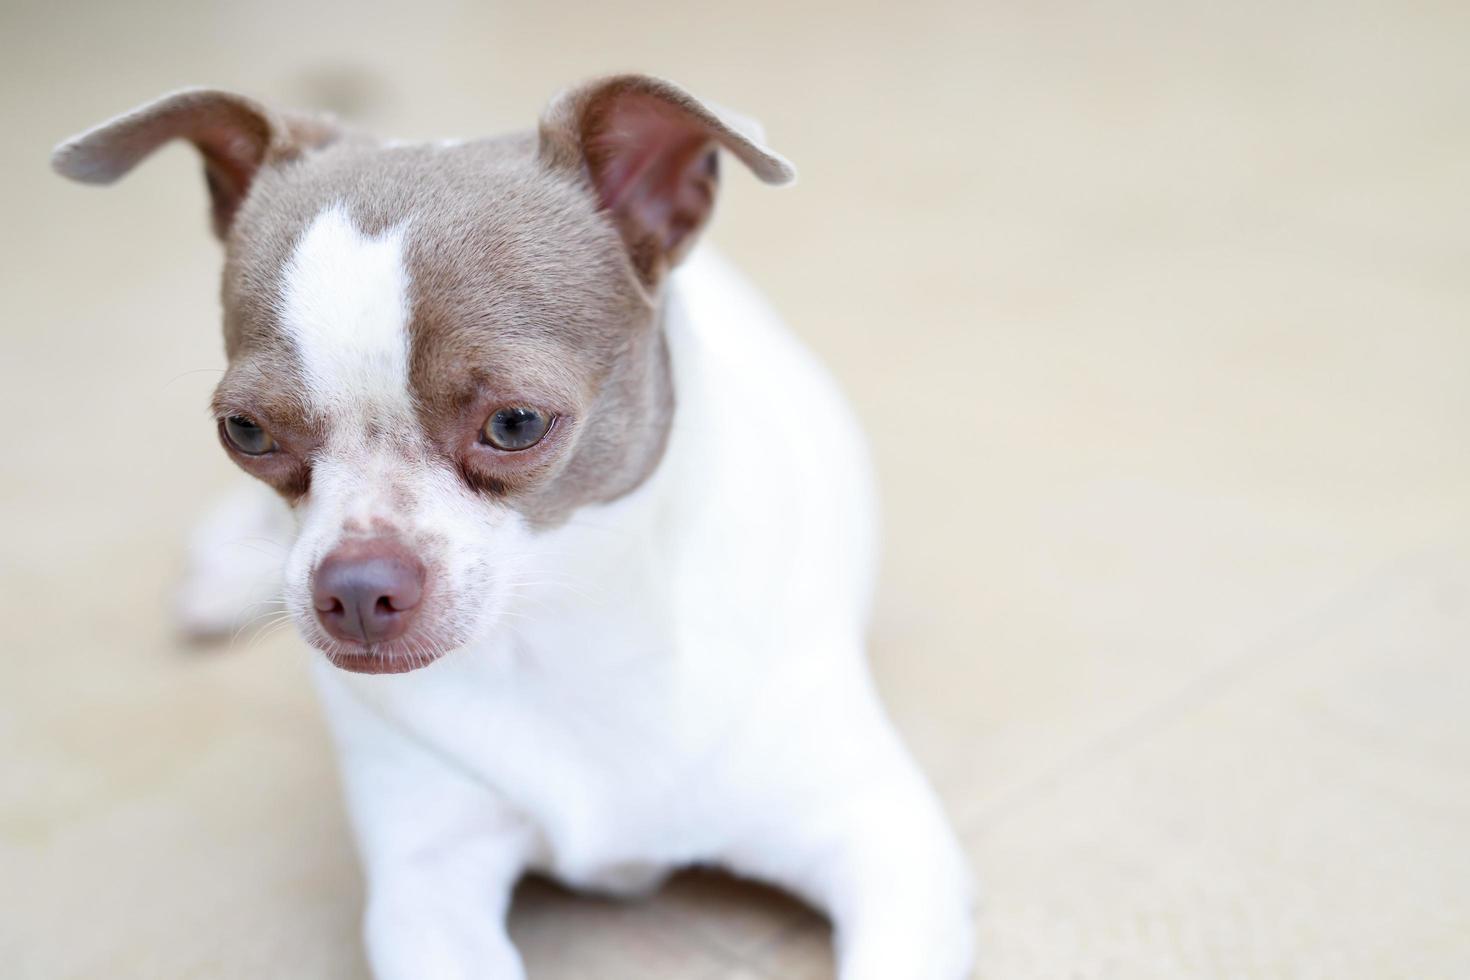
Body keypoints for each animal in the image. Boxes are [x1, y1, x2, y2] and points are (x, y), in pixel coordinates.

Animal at [54, 72, 976, 975]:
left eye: (517, 423)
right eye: (245, 433)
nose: (354, 586)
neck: (560, 630)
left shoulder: (881, 841)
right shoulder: (427, 892)